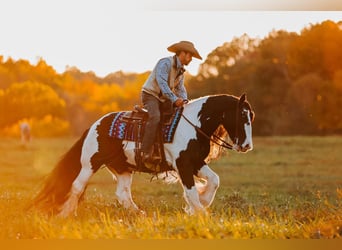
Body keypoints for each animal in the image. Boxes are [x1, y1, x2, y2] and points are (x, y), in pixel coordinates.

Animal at [31, 94, 254, 217]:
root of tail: (94, 125)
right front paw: (200, 212)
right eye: (242, 115)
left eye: (251, 115)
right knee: (77, 186)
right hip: (90, 163)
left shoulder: (196, 162)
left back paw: (140, 214)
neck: (193, 125)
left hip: (122, 169)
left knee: (122, 194)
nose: (247, 146)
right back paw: (65, 214)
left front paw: (202, 203)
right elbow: (190, 192)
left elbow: (214, 180)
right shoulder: (183, 164)